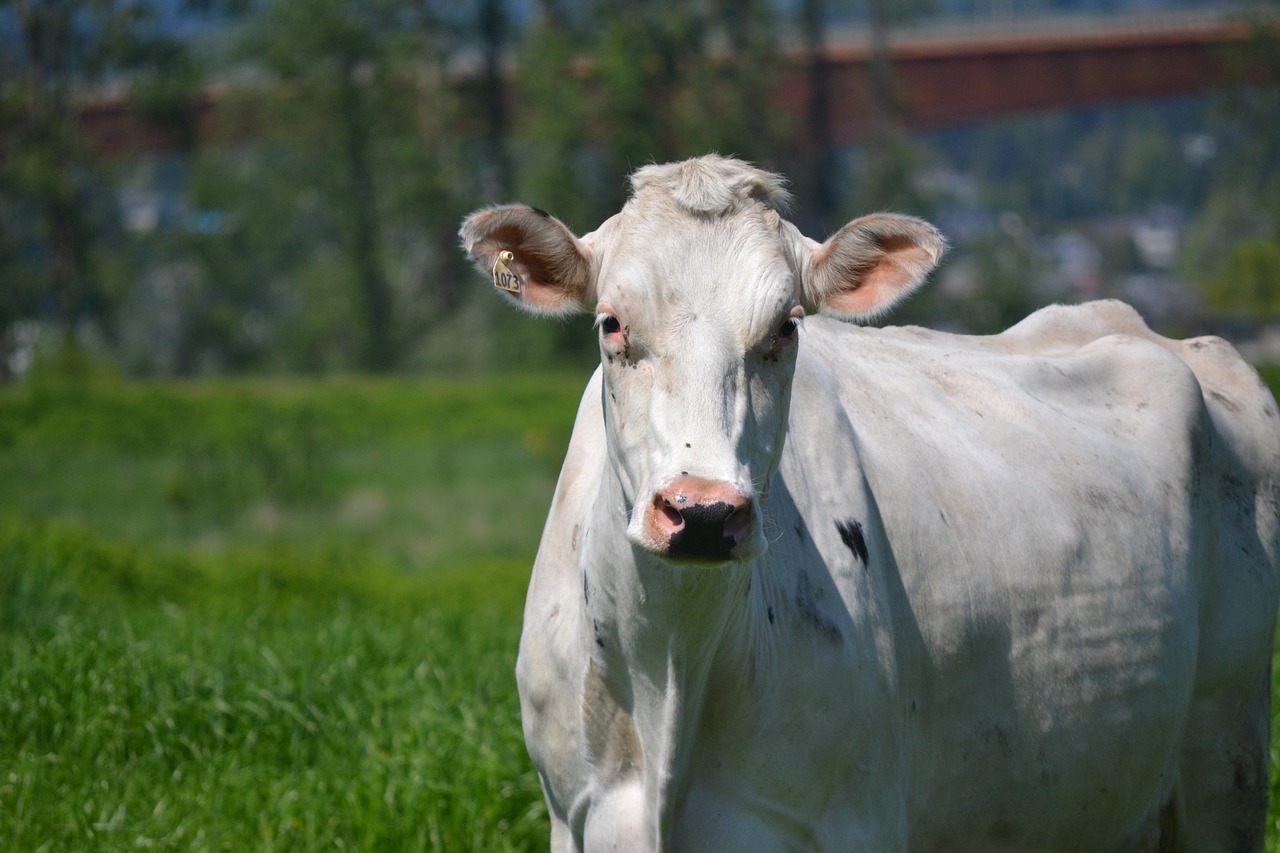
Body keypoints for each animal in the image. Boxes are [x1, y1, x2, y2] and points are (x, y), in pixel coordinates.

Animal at [460, 156, 1280, 845]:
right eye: (611, 321)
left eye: (784, 329)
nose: (703, 513)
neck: (671, 675)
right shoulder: (575, 816)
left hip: (1225, 752)